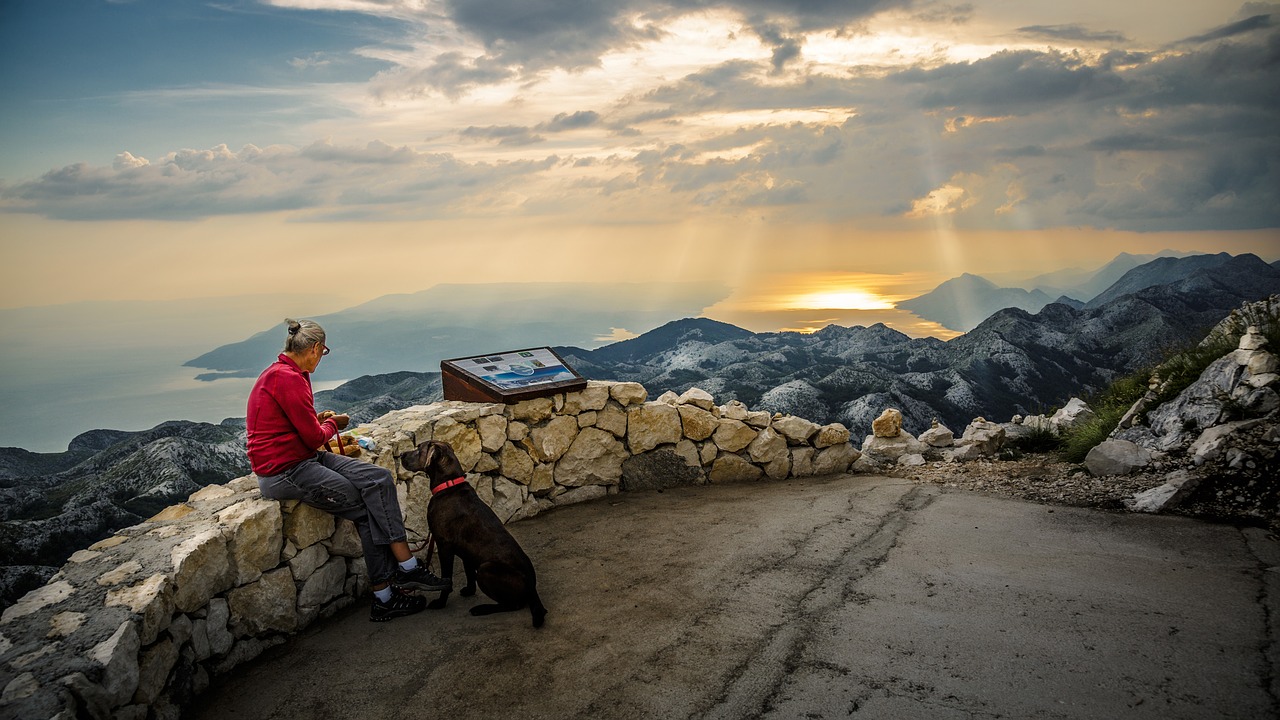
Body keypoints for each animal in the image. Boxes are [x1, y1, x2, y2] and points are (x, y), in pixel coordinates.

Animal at [394, 435, 545, 625]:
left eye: (419, 448)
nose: (401, 455)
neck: (449, 485)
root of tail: (533, 588)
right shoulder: (466, 551)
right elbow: (468, 572)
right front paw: (469, 590)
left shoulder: (444, 546)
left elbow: (447, 578)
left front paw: (441, 602)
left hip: (486, 569)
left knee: (513, 604)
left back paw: (482, 609)